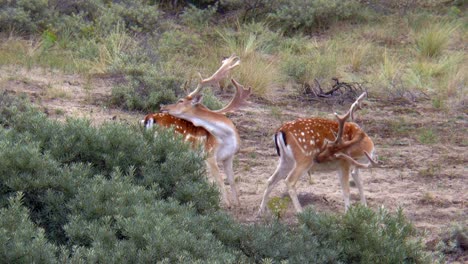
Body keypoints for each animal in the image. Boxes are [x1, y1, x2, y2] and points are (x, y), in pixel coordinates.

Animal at [157, 55, 250, 207]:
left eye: (180, 100)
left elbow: (231, 180)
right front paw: (226, 204)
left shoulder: (229, 157)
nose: (163, 106)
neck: (227, 137)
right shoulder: (209, 155)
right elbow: (219, 181)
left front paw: (237, 204)